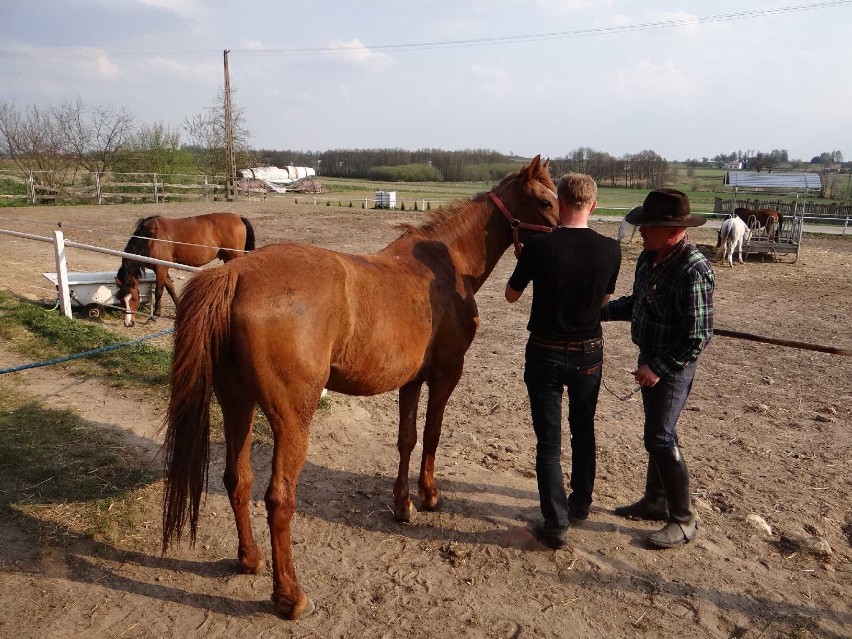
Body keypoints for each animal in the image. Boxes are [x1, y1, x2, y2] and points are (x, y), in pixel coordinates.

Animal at [116, 212, 256, 328]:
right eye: (121, 299)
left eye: (134, 298)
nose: (128, 323)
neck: (150, 238)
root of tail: (239, 218)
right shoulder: (162, 269)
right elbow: (170, 289)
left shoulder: (161, 268)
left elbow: (159, 292)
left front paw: (154, 316)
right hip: (227, 258)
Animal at [161, 155, 560, 620]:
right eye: (543, 202)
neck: (445, 268)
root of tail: (237, 274)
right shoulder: (446, 376)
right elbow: (432, 435)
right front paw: (429, 496)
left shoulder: (411, 381)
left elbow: (407, 439)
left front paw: (403, 504)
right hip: (291, 420)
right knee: (279, 499)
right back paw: (290, 596)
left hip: (236, 405)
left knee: (236, 480)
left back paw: (250, 559)